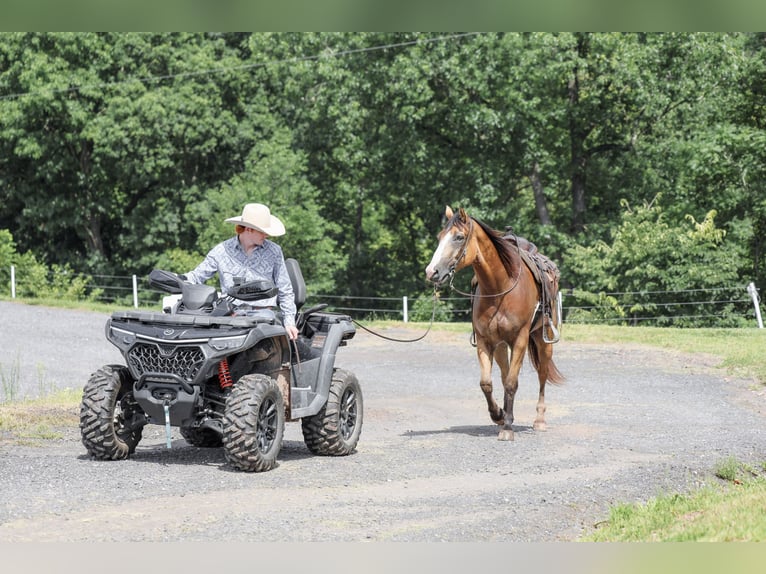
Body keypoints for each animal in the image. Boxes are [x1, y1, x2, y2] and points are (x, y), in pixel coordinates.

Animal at [425, 206, 565, 441]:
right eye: (439, 237)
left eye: (459, 237)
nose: (431, 272)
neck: (500, 287)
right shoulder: (485, 341)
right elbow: (487, 383)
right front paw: (499, 415)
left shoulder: (520, 339)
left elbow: (512, 382)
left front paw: (507, 428)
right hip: (500, 346)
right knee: (504, 374)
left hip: (543, 341)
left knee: (542, 375)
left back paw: (539, 420)